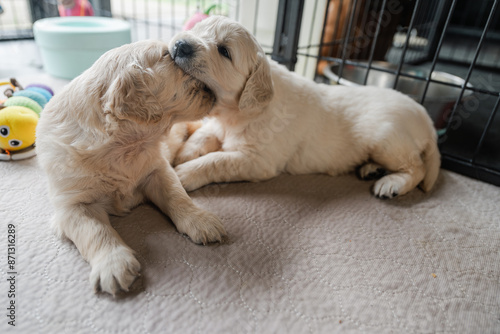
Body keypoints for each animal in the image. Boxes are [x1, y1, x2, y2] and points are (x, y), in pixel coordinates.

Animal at [36, 39, 228, 294]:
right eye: (167, 56)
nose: (211, 92)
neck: (125, 146)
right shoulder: (72, 205)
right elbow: (95, 230)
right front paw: (114, 264)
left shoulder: (158, 170)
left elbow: (177, 196)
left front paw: (201, 220)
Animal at [170, 16, 440, 198]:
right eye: (196, 30)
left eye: (224, 51)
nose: (180, 44)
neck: (237, 113)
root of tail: (427, 120)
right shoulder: (218, 126)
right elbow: (203, 134)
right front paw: (183, 153)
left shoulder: (258, 160)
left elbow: (217, 160)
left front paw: (183, 173)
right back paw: (372, 169)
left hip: (386, 139)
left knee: (417, 167)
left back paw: (392, 183)